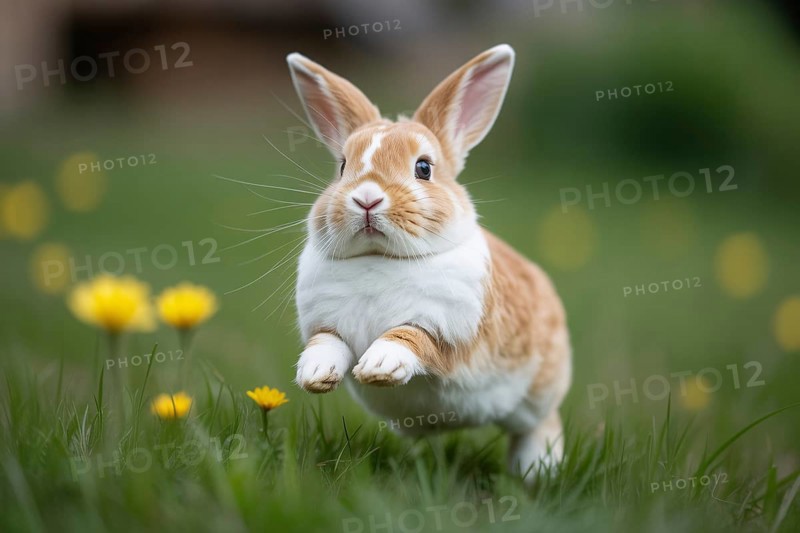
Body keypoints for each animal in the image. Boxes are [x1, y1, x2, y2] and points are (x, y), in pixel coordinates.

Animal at [287, 44, 572, 480]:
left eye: (424, 168)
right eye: (342, 167)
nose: (366, 197)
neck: (380, 258)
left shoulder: (448, 332)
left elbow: (409, 337)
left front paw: (379, 366)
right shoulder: (328, 326)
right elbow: (327, 345)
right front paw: (315, 375)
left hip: (538, 393)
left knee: (541, 424)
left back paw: (537, 473)